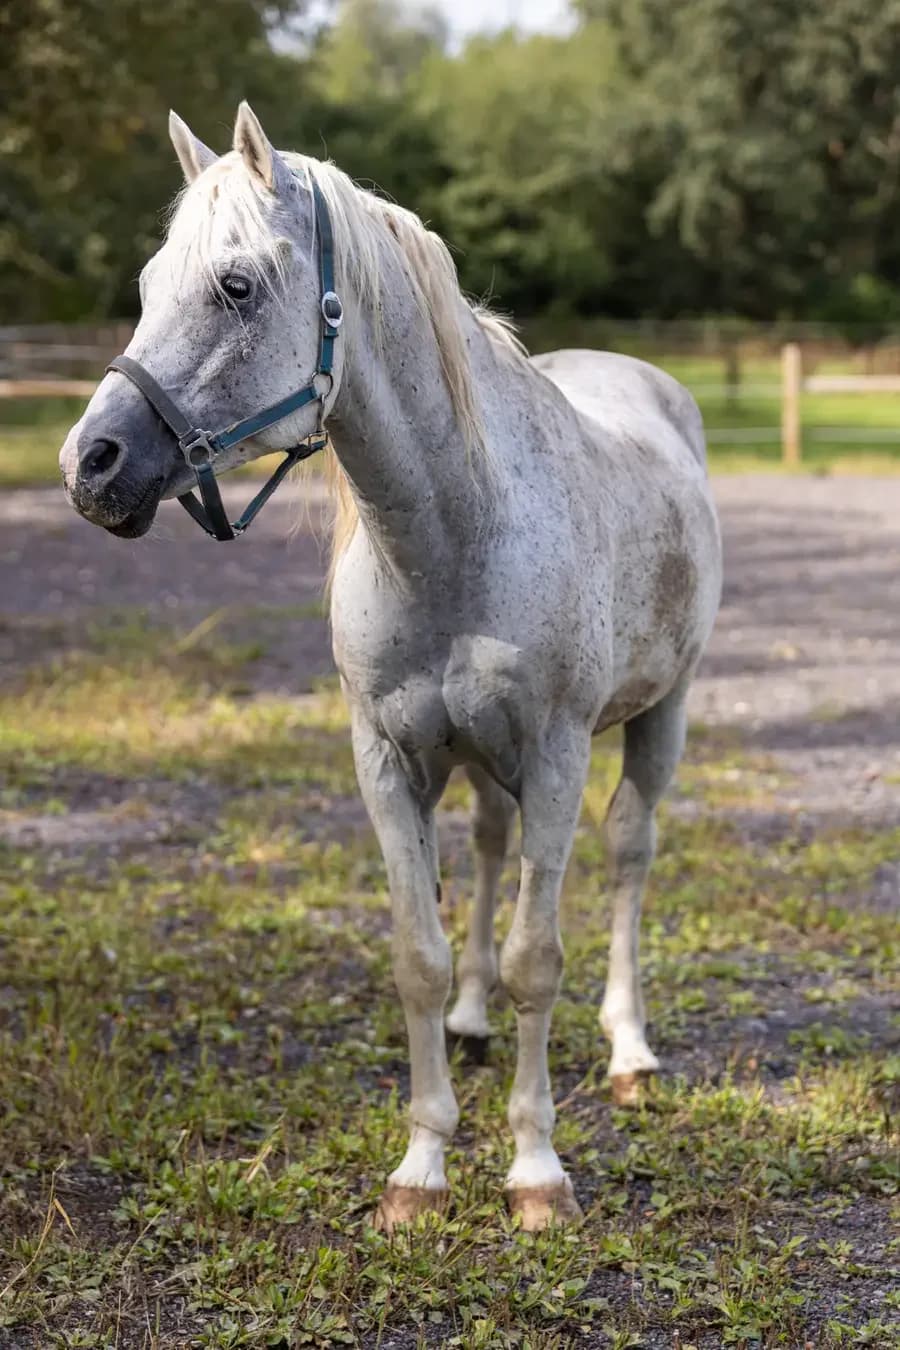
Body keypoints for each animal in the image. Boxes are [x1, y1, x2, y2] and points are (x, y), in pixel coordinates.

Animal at [58, 103, 722, 1232]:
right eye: (148, 285)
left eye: (237, 286)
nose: (89, 465)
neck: (460, 531)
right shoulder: (388, 762)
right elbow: (421, 956)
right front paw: (421, 1171)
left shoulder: (557, 759)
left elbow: (537, 958)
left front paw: (536, 1174)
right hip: (487, 763)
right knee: (492, 853)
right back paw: (475, 1023)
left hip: (658, 719)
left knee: (631, 856)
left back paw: (631, 1052)